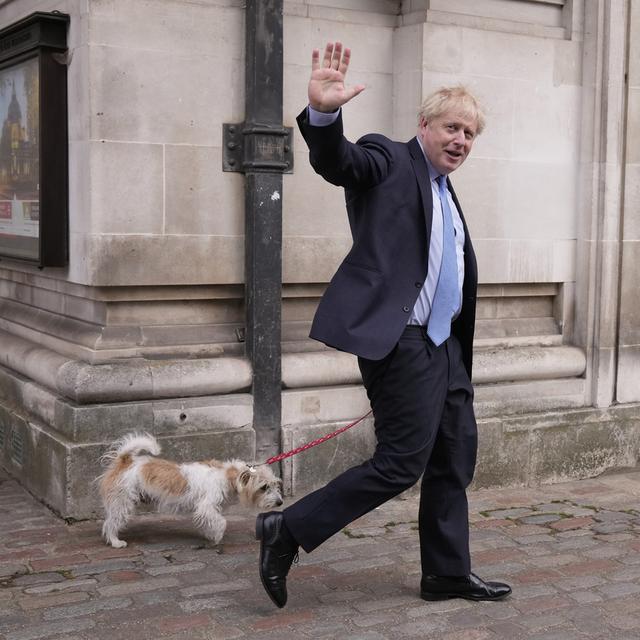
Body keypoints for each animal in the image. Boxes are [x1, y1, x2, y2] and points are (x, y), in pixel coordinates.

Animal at [98, 432, 282, 548]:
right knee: (110, 523)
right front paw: (217, 537)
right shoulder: (206, 506)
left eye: (275, 485)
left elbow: (211, 521)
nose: (280, 502)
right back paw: (115, 542)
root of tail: (125, 460)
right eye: (264, 487)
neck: (226, 474)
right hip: (122, 501)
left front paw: (210, 534)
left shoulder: (206, 510)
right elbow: (222, 522)